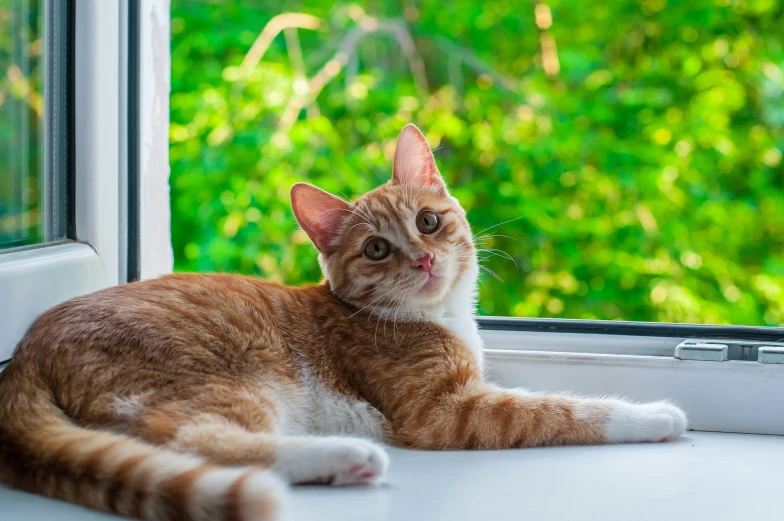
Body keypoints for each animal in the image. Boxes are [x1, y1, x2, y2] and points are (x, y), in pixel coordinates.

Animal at [0, 124, 688, 520]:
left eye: (429, 221)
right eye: (377, 249)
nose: (423, 258)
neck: (435, 317)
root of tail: (29, 348)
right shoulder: (447, 411)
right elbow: (558, 409)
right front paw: (655, 415)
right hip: (215, 382)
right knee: (192, 441)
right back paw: (344, 455)